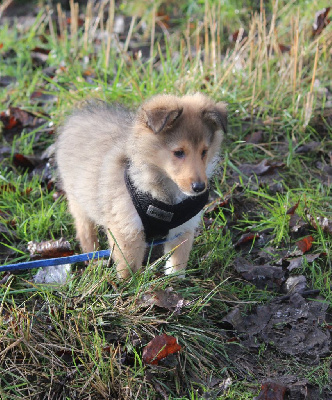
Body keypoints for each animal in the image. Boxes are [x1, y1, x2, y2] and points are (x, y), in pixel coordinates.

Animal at [55, 93, 227, 278]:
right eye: (179, 152)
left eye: (204, 151)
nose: (199, 187)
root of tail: (79, 114)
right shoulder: (126, 229)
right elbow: (128, 266)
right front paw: (129, 283)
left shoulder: (182, 229)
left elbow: (177, 262)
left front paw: (176, 281)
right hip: (78, 199)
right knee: (85, 230)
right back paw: (94, 259)